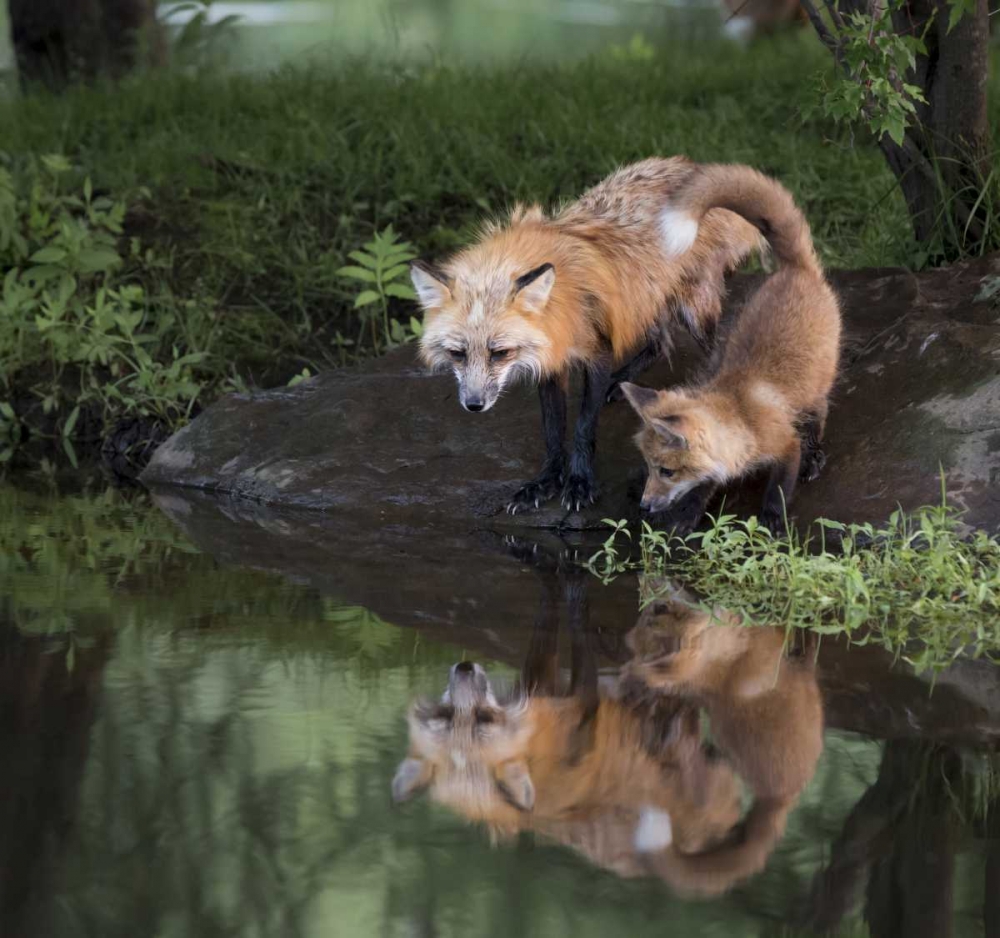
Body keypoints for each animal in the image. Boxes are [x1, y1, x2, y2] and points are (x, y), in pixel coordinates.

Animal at [410, 157, 764, 513]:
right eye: (457, 354)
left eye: (500, 353)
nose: (473, 405)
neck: (561, 301)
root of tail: (696, 165)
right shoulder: (549, 359)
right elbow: (553, 433)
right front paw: (545, 482)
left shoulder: (598, 350)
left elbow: (583, 427)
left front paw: (579, 482)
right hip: (645, 300)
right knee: (660, 342)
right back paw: (622, 383)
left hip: (692, 310)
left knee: (710, 351)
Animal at [620, 162, 841, 533]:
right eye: (649, 466)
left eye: (667, 471)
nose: (645, 505)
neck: (743, 417)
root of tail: (795, 268)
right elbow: (703, 485)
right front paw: (686, 518)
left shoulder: (785, 445)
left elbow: (779, 487)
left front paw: (772, 521)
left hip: (816, 389)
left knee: (818, 416)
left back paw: (815, 456)